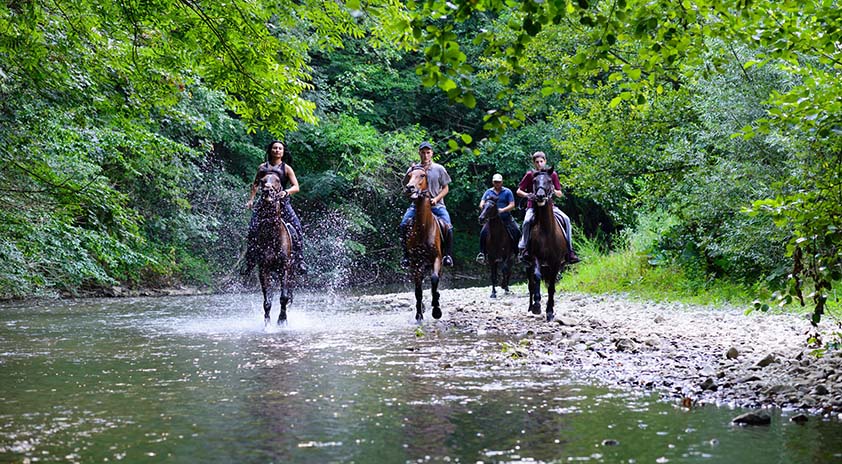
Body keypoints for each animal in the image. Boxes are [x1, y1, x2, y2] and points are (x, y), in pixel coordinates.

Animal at [251, 171, 294, 326]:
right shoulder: (264, 269)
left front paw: (282, 320)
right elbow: (267, 300)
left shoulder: (285, 267)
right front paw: (267, 324)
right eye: (262, 180)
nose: (267, 191)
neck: (272, 236)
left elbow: (284, 297)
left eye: (277, 180)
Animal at [402, 167, 442, 322]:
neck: (423, 229)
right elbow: (418, 289)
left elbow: (434, 280)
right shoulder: (415, 262)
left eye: (422, 175)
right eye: (409, 176)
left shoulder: (437, 258)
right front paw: (419, 314)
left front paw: (436, 310)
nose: (410, 187)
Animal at [524, 168, 572, 322]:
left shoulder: (555, 262)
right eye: (534, 181)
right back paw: (530, 308)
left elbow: (551, 286)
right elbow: (537, 277)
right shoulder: (535, 257)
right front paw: (537, 306)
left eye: (550, 181)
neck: (546, 231)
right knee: (531, 284)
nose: (539, 196)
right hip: (528, 264)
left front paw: (550, 311)